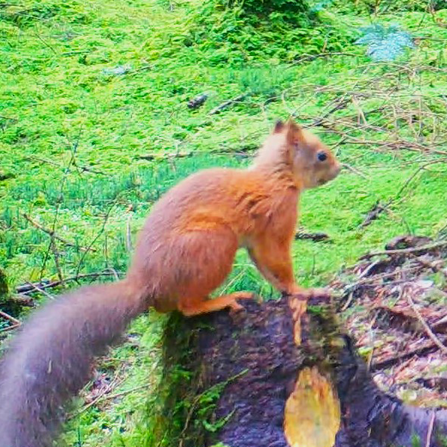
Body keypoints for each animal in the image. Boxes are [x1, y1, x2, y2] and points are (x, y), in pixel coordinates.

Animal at [0, 120, 340, 447]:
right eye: (321, 155)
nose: (338, 169)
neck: (275, 175)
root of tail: (146, 285)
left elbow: (268, 269)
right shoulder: (276, 222)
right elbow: (278, 263)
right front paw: (302, 290)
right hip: (214, 243)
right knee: (187, 306)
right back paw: (222, 299)